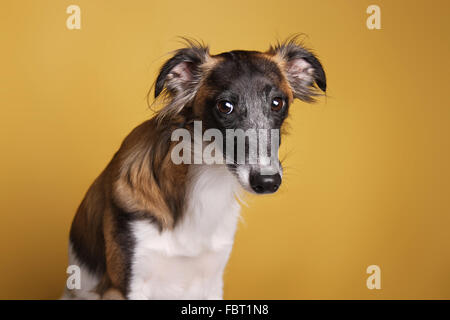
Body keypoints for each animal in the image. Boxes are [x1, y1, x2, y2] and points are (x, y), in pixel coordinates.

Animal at [62, 38, 324, 300]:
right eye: (225, 106)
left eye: (277, 103)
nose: (267, 182)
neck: (204, 183)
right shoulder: (126, 284)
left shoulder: (213, 279)